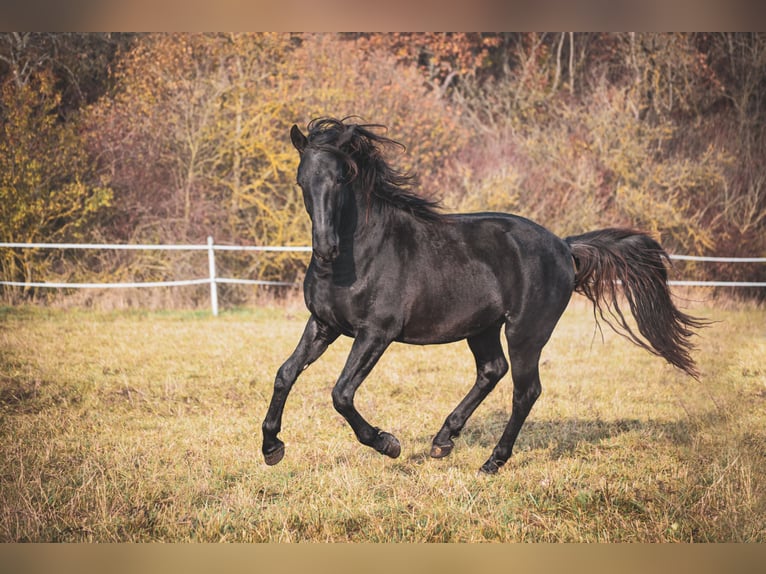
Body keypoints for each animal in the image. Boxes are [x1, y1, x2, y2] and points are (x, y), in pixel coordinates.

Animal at [261, 117, 706, 474]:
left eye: (340, 180)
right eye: (302, 181)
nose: (326, 248)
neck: (361, 256)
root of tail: (564, 247)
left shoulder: (376, 333)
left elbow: (341, 393)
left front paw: (388, 444)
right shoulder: (324, 324)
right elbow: (285, 373)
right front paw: (271, 447)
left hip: (525, 332)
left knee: (526, 391)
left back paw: (492, 461)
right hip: (483, 328)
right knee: (492, 370)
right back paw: (443, 440)